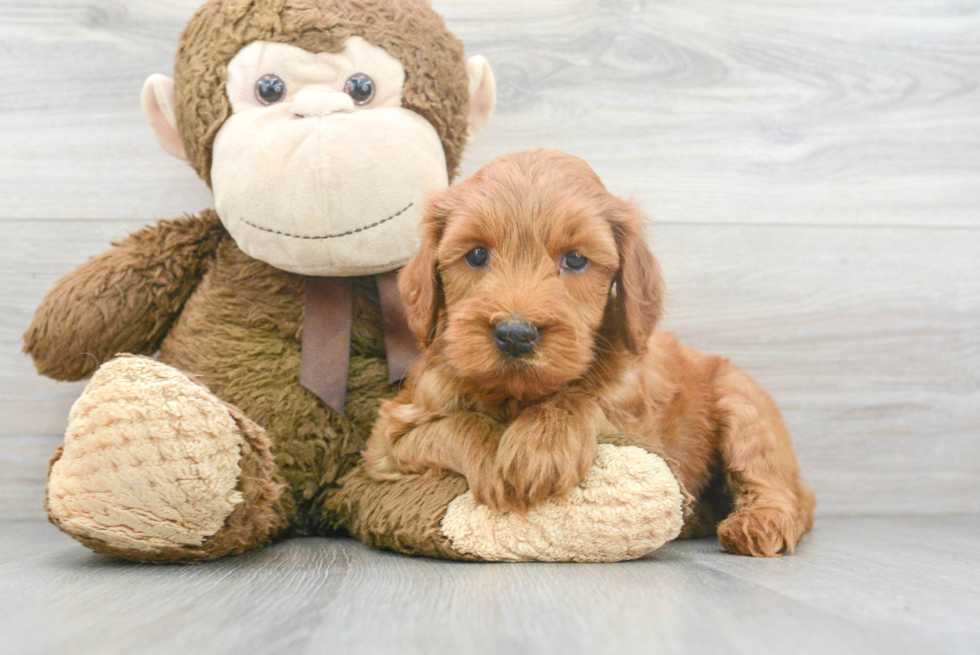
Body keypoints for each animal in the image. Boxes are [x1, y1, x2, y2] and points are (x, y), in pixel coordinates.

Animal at [364, 151, 816, 556]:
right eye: (476, 254)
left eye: (576, 259)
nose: (515, 334)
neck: (517, 396)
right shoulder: (389, 441)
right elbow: (457, 423)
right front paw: (494, 454)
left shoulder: (640, 419)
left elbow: (584, 398)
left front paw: (541, 443)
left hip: (742, 404)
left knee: (784, 490)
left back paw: (758, 522)